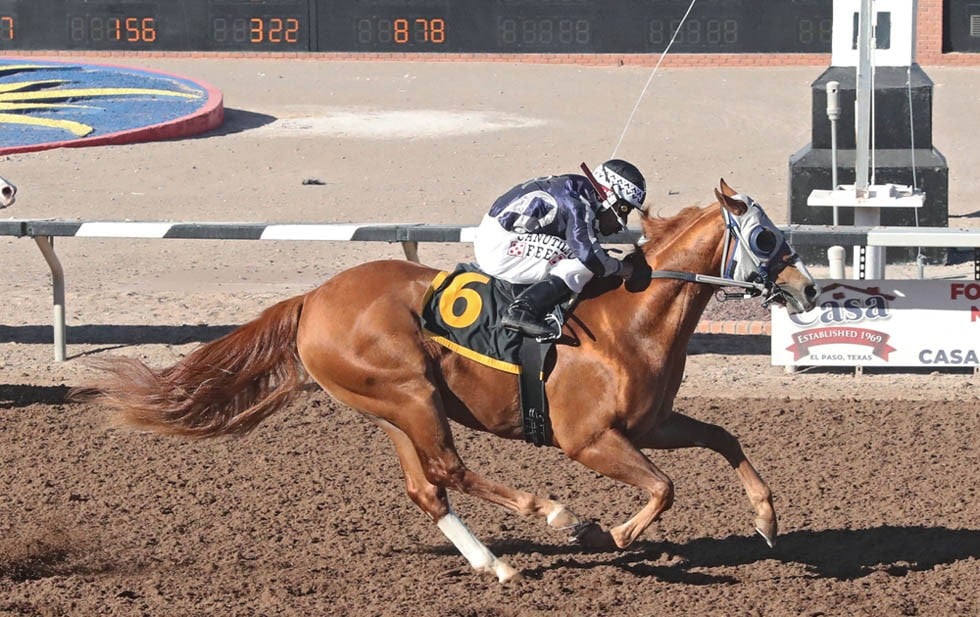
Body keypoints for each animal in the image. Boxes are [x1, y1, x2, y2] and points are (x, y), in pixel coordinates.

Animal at [80, 179, 820, 583]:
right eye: (764, 236)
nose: (809, 289)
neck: (629, 318)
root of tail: (312, 299)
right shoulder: (588, 439)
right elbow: (664, 488)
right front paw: (607, 535)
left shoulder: (651, 423)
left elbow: (723, 437)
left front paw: (766, 517)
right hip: (411, 393)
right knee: (449, 468)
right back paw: (556, 514)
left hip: (391, 406)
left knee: (426, 487)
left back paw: (495, 562)